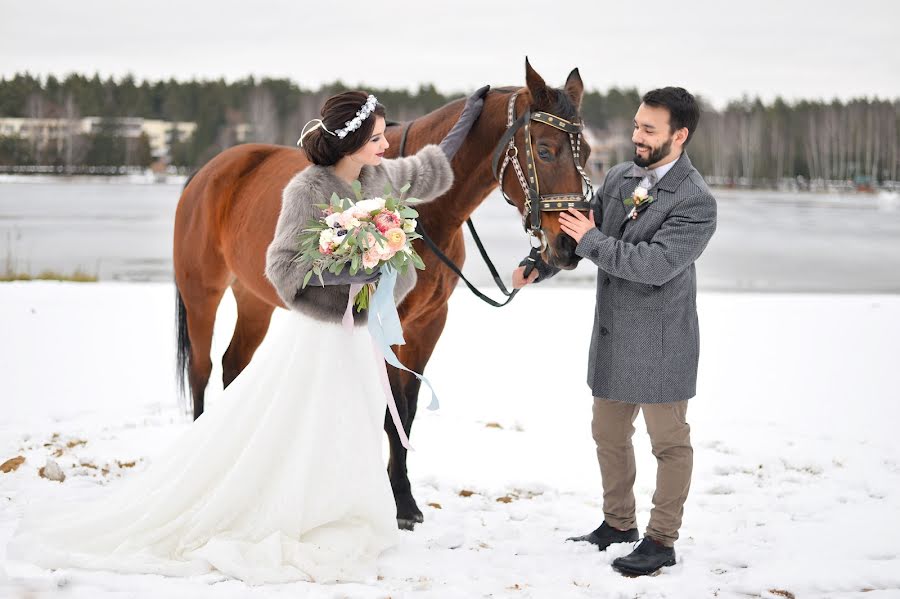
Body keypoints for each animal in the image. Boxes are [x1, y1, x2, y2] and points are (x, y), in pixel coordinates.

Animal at [174, 59, 592, 528]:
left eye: (588, 155)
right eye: (545, 151)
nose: (568, 245)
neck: (429, 214)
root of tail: (207, 171)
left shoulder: (428, 323)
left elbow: (406, 412)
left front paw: (403, 497)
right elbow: (390, 411)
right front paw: (398, 504)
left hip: (254, 299)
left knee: (234, 365)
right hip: (202, 294)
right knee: (202, 370)